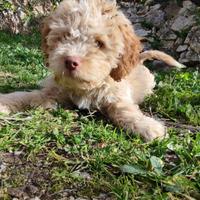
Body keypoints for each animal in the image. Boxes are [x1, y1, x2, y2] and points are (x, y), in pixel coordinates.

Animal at [0, 0, 184, 141]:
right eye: (64, 36)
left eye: (99, 43)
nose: (70, 61)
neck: (86, 86)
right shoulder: (52, 91)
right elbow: (26, 95)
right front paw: (4, 102)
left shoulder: (117, 96)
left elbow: (124, 110)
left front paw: (147, 126)